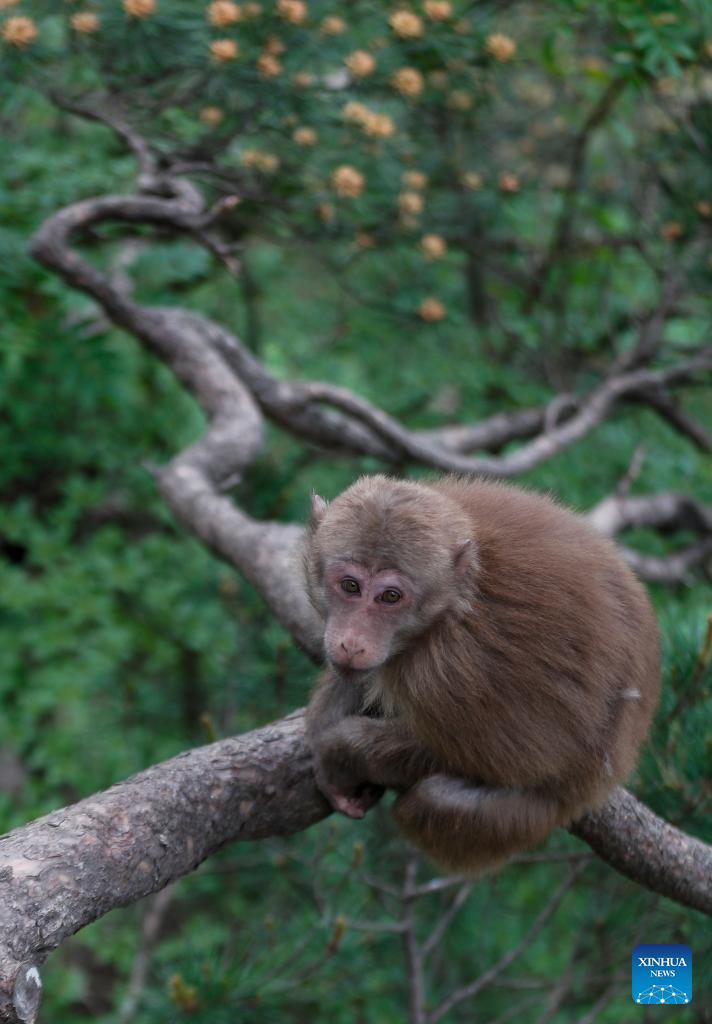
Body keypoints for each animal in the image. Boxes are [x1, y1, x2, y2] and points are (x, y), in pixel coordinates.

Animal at [301, 473, 663, 872]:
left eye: (390, 597)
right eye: (350, 586)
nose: (352, 642)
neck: (452, 603)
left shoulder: (446, 673)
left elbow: (511, 760)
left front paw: (340, 751)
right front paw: (325, 723)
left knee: (436, 799)